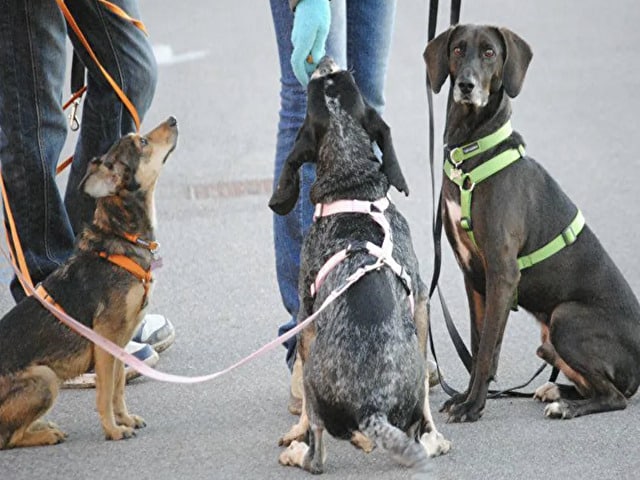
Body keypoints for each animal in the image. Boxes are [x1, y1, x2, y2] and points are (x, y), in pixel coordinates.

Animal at [0, 116, 178, 446]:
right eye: (143, 142)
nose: (172, 120)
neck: (122, 237)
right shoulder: (106, 340)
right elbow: (105, 393)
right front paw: (113, 430)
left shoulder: (120, 342)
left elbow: (118, 387)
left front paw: (124, 419)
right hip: (45, 378)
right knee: (8, 438)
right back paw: (45, 435)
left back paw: (43, 426)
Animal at [268, 58, 450, 474]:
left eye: (331, 81)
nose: (325, 61)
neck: (350, 188)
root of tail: (372, 409)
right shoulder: (421, 302)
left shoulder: (306, 315)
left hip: (317, 386)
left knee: (318, 450)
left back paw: (301, 451)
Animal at [424, 24, 640, 422]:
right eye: (458, 49)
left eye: (490, 53)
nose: (466, 86)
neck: (473, 152)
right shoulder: (473, 276)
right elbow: (477, 346)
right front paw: (466, 398)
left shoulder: (502, 272)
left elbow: (486, 350)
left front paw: (473, 406)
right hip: (548, 341)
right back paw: (555, 390)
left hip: (565, 318)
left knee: (615, 396)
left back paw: (565, 406)